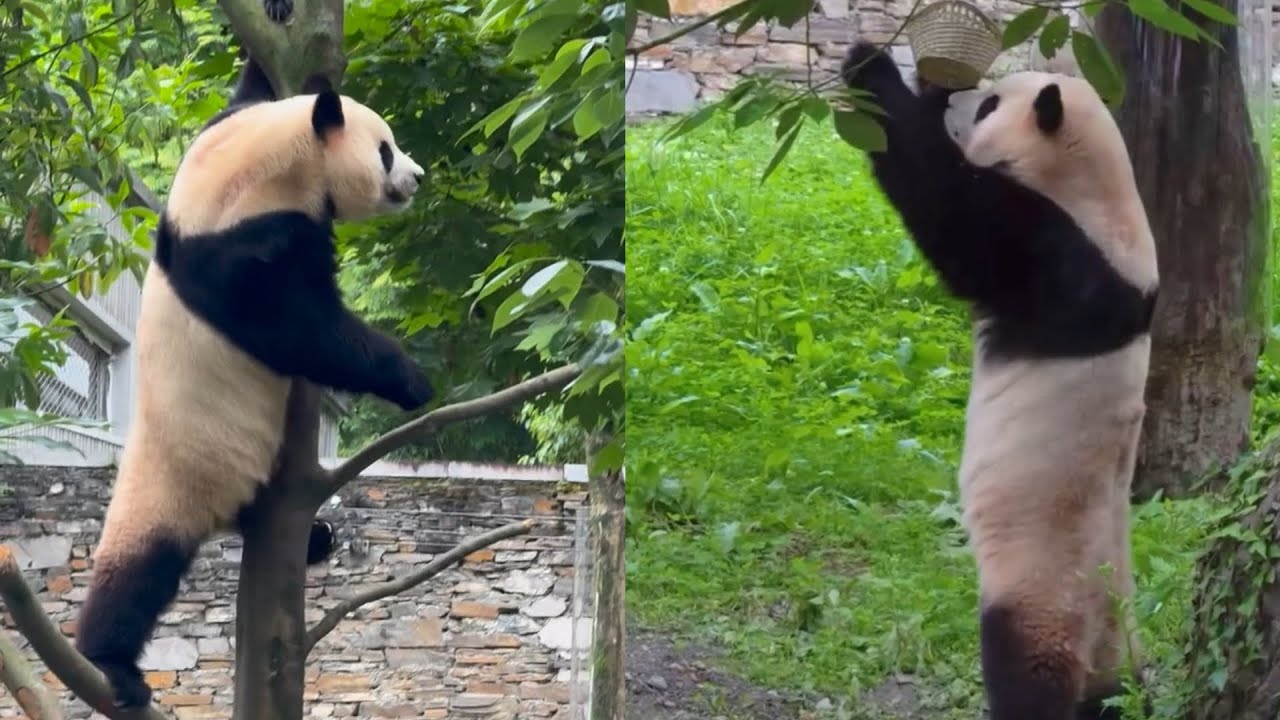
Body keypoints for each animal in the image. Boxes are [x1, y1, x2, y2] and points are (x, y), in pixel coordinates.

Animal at [73, 58, 432, 709]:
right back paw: (111, 666)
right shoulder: (243, 253)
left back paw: (316, 538)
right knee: (136, 574)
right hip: (173, 481)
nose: (417, 178)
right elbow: (305, 333)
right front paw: (412, 380)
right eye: (386, 150)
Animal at [839, 43, 1158, 719]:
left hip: (1039, 589)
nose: (958, 102)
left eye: (989, 106)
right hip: (1119, 636)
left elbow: (949, 212)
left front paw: (873, 68)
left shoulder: (1052, 255)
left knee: (1026, 669)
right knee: (1120, 693)